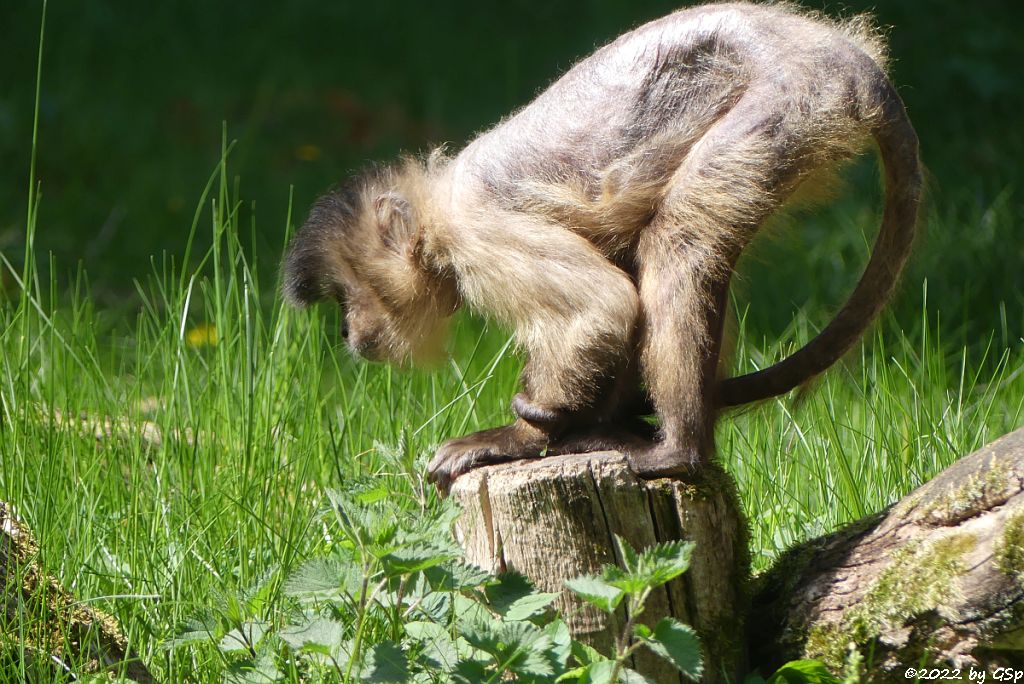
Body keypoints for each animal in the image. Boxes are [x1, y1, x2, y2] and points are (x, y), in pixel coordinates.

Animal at [280, 0, 921, 491]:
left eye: (348, 297)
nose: (347, 329)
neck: (438, 204)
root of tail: (841, 51)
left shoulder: (475, 231)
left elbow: (603, 307)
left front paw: (521, 437)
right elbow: (619, 310)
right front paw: (581, 422)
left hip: (789, 104)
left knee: (679, 237)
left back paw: (677, 451)